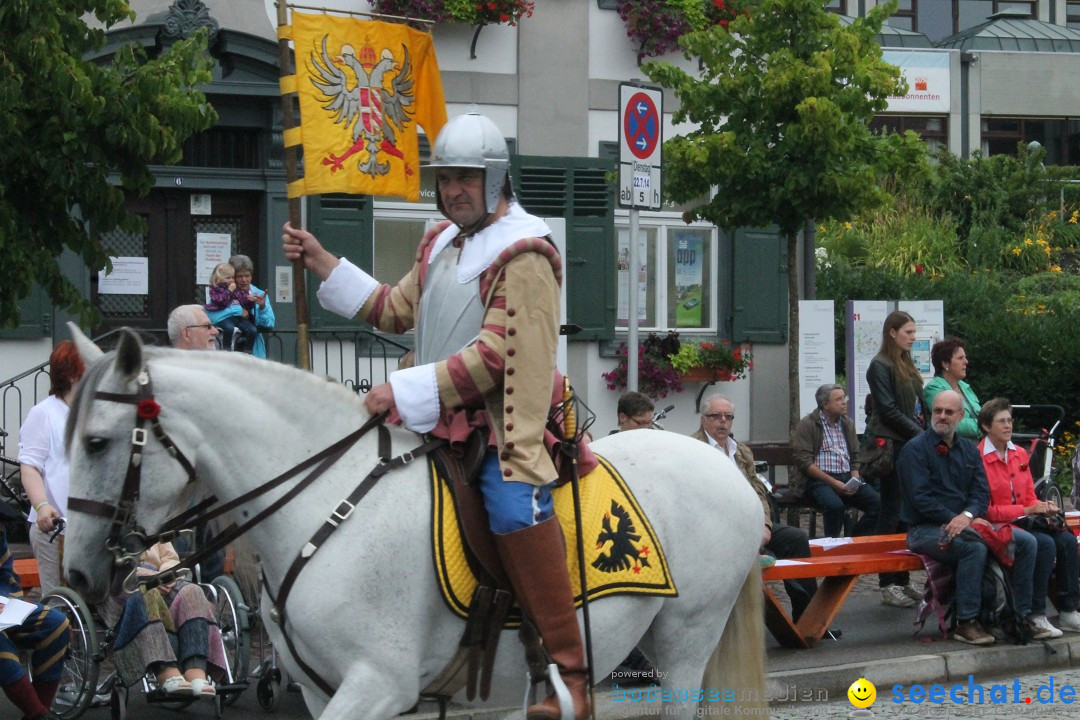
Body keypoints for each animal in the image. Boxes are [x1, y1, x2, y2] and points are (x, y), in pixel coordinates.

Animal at [63, 330, 768, 720]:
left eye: (97, 442)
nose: (77, 572)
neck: (324, 505)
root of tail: (727, 469)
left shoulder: (378, 684)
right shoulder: (321, 691)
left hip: (687, 637)